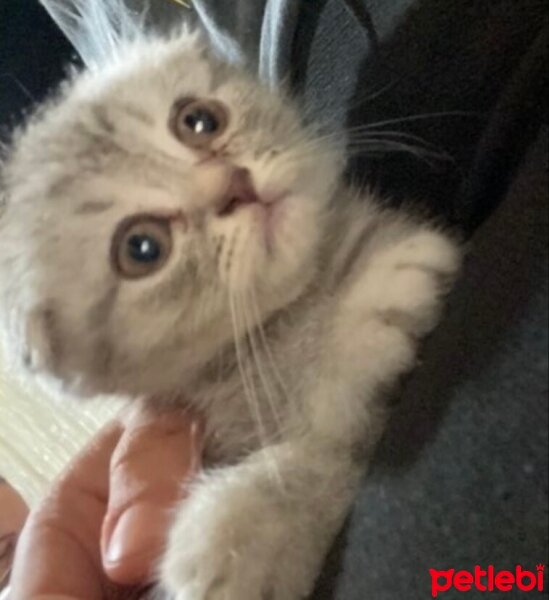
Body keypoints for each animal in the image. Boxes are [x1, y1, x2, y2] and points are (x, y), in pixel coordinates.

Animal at [0, 19, 460, 600]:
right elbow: (324, 457)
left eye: (198, 120)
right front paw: (238, 535)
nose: (233, 186)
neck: (296, 315)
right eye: (142, 248)